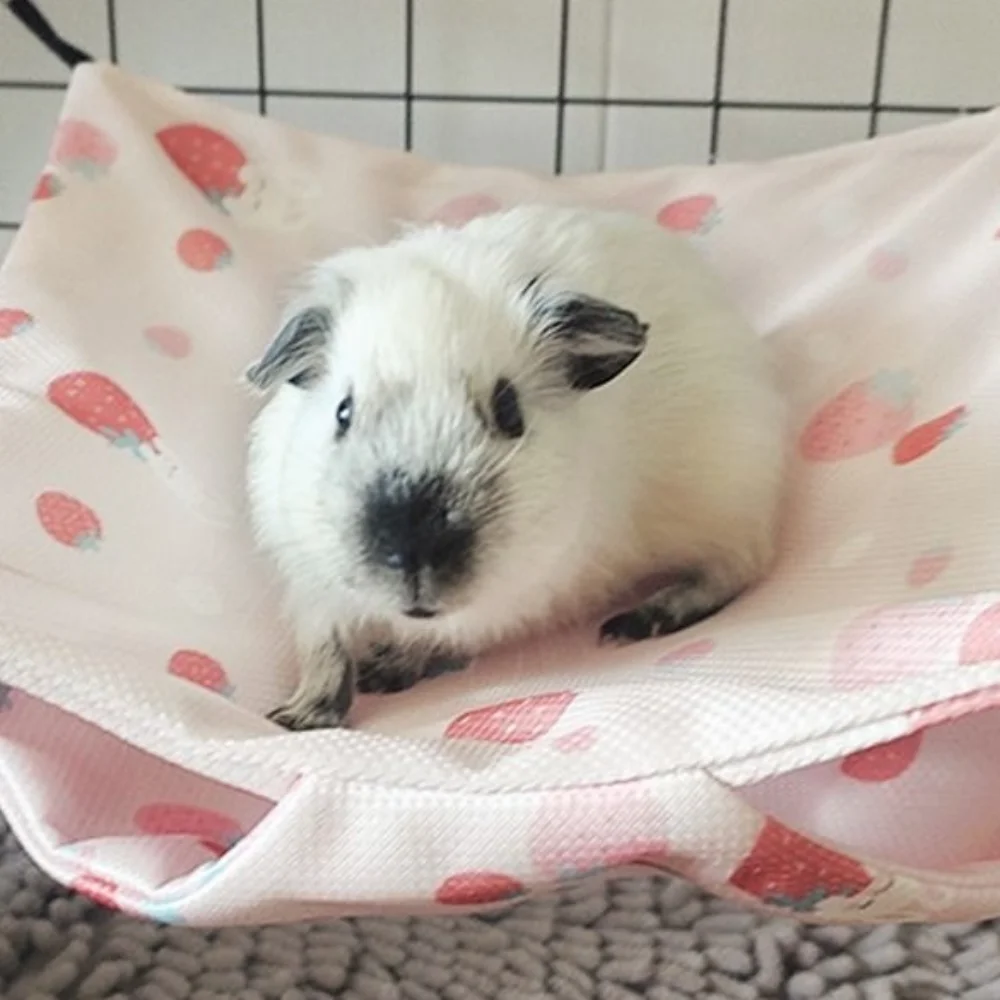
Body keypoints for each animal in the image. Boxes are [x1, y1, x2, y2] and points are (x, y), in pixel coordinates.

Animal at [245, 204, 787, 730]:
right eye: (343, 412)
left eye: (509, 411)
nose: (415, 553)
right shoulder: (310, 583)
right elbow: (326, 650)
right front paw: (296, 719)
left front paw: (385, 670)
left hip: (731, 507)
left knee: (736, 570)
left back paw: (632, 623)